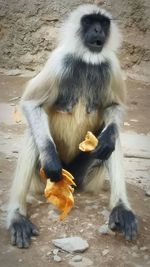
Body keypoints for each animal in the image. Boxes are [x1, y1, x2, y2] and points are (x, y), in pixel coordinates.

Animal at [7, 3, 138, 249]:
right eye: (89, 21)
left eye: (102, 22)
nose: (97, 30)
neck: (87, 60)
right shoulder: (59, 61)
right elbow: (31, 104)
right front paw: (50, 159)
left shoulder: (111, 64)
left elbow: (114, 107)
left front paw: (107, 140)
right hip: (42, 180)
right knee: (33, 133)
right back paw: (16, 217)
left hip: (87, 178)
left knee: (112, 140)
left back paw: (121, 209)